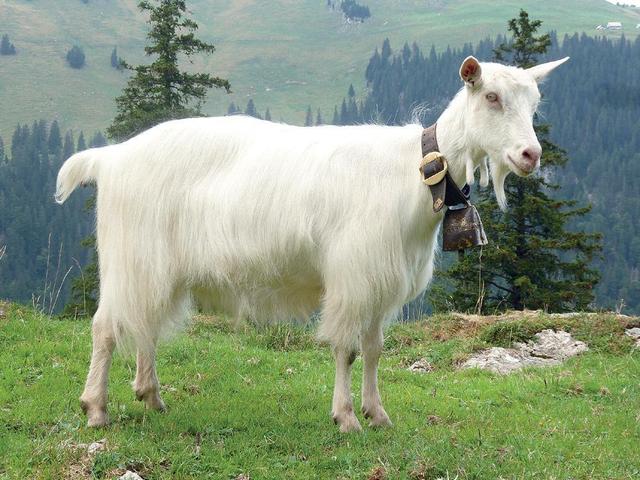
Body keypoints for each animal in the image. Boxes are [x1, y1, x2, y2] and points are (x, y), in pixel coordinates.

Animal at [56, 55, 568, 432]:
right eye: (492, 97)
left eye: (536, 103)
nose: (530, 155)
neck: (414, 170)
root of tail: (110, 157)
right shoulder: (352, 275)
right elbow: (346, 348)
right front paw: (346, 418)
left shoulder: (380, 280)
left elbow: (374, 349)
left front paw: (378, 414)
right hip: (130, 256)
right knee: (106, 327)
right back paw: (96, 408)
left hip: (155, 266)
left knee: (144, 324)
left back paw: (152, 397)